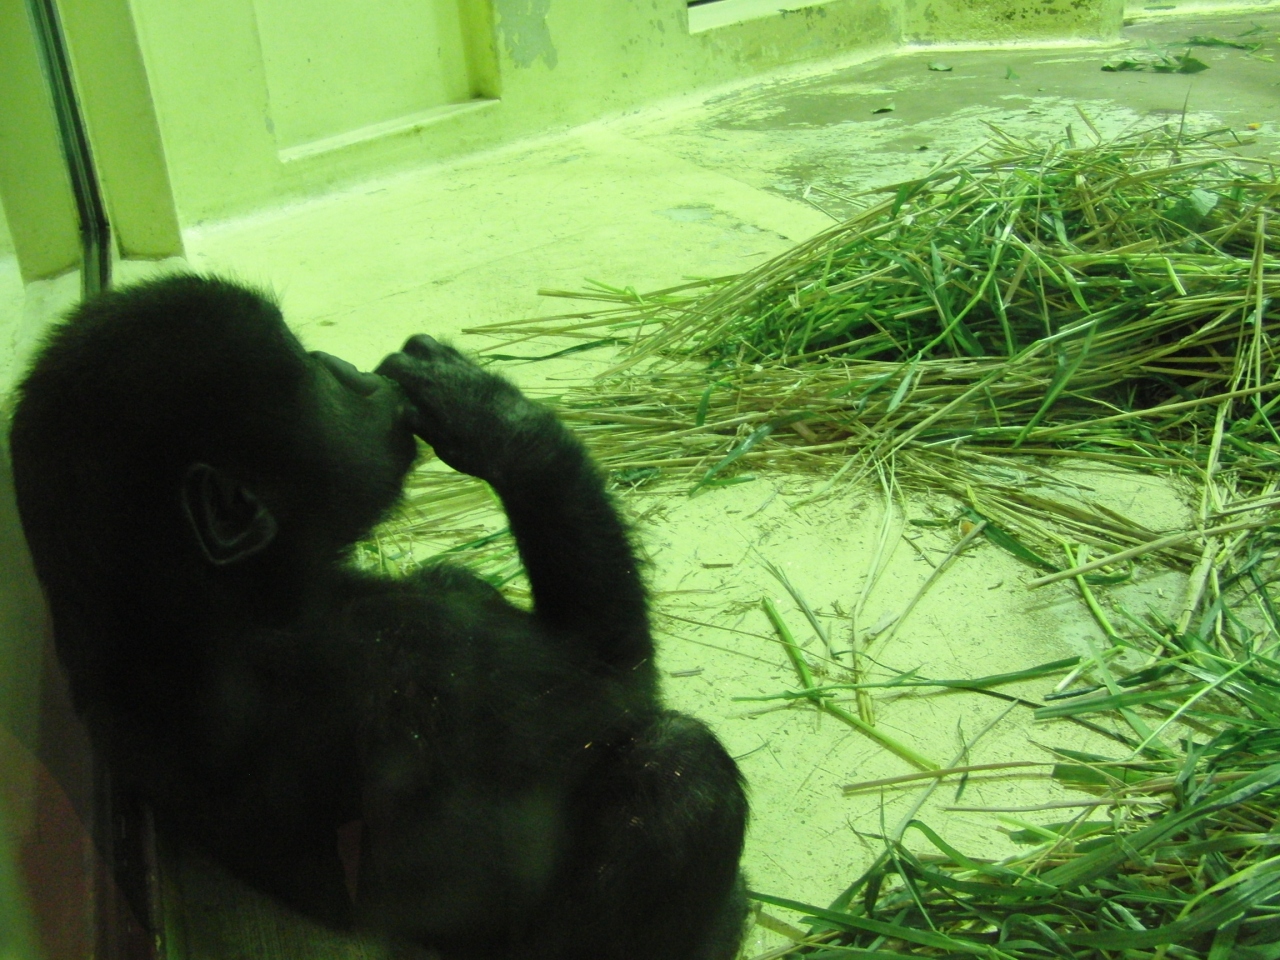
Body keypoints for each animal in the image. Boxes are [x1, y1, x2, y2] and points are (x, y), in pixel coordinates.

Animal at [7, 273, 747, 957]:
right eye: (305, 368)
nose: (337, 364)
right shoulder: (405, 655)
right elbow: (616, 686)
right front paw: (487, 411)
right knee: (680, 772)